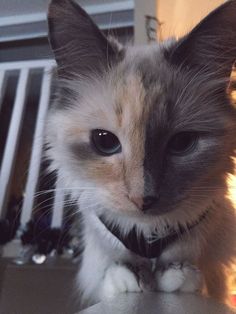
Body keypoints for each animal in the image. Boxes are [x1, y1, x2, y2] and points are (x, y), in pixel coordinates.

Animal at [46, 0, 236, 310]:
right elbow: (113, 270)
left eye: (182, 143)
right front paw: (131, 279)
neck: (149, 234)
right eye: (104, 142)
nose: (143, 199)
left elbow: (193, 270)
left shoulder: (211, 256)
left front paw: (176, 275)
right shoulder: (101, 244)